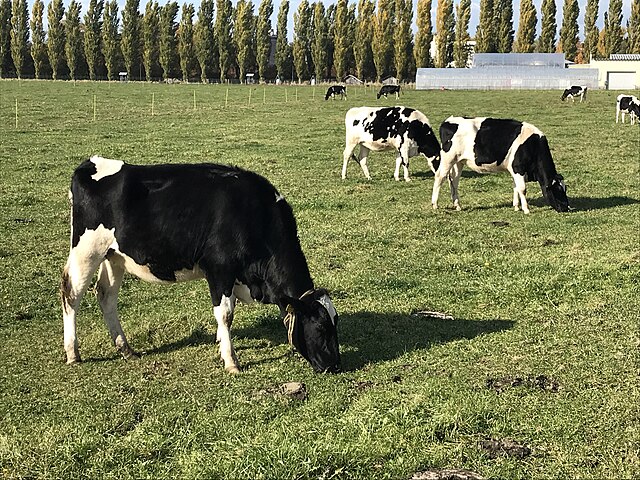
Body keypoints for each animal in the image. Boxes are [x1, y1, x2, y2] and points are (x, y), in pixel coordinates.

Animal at [60, 157, 341, 374]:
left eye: (335, 322)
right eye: (321, 326)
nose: (335, 365)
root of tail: (90, 164)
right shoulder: (219, 269)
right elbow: (226, 314)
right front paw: (231, 361)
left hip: (114, 256)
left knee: (106, 295)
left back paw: (126, 349)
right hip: (87, 250)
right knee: (71, 294)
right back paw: (73, 352)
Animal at [432, 117, 570, 214]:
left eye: (565, 189)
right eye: (558, 190)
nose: (567, 208)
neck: (533, 145)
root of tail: (447, 121)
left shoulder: (516, 170)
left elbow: (516, 187)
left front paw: (516, 206)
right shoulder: (518, 168)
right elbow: (522, 189)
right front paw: (526, 209)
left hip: (458, 161)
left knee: (454, 181)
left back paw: (458, 205)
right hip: (448, 158)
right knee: (440, 177)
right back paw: (435, 204)